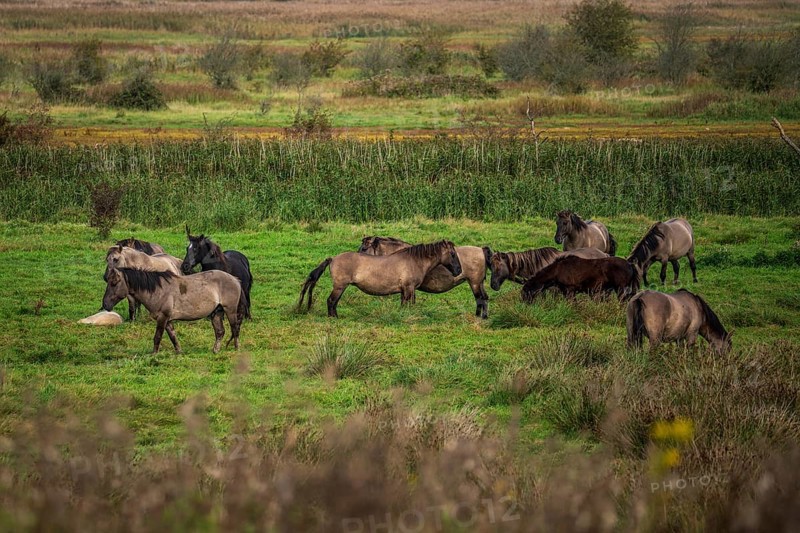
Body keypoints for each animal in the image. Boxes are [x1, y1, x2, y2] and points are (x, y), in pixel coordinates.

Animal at [102, 268, 244, 354]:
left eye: (114, 283)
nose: (105, 304)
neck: (159, 291)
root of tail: (235, 279)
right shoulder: (167, 320)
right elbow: (172, 336)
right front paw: (179, 352)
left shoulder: (162, 318)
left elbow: (157, 337)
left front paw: (154, 354)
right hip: (216, 313)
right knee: (220, 332)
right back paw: (215, 350)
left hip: (230, 311)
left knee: (235, 329)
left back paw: (237, 349)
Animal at [299, 240, 462, 318]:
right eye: (453, 254)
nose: (459, 271)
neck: (414, 260)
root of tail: (332, 259)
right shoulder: (408, 289)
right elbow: (407, 305)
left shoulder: (405, 290)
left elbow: (405, 304)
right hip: (340, 287)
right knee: (331, 301)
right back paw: (333, 318)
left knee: (333, 302)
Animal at [358, 236, 490, 318]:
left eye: (364, 248)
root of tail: (481, 250)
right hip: (479, 283)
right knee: (484, 298)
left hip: (474, 283)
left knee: (480, 298)